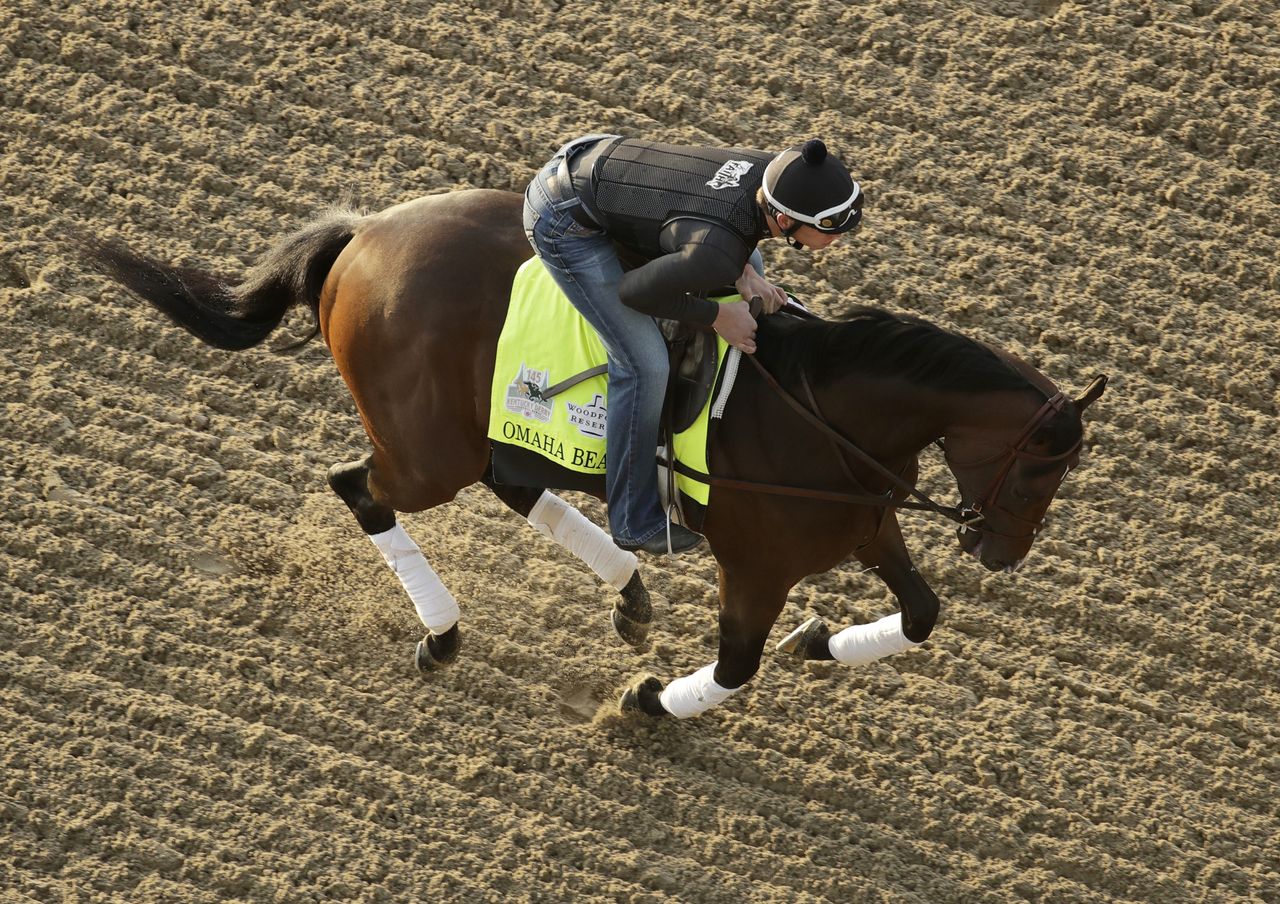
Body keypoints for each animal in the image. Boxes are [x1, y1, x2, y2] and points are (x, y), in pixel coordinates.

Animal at [85, 189, 1105, 717]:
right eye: (1040, 465)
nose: (1004, 552)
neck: (826, 420)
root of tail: (365, 234)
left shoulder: (862, 526)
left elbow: (924, 615)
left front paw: (823, 640)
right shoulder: (757, 565)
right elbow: (738, 666)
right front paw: (648, 703)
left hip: (471, 434)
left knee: (511, 482)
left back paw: (627, 592)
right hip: (426, 451)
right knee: (359, 484)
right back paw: (444, 632)